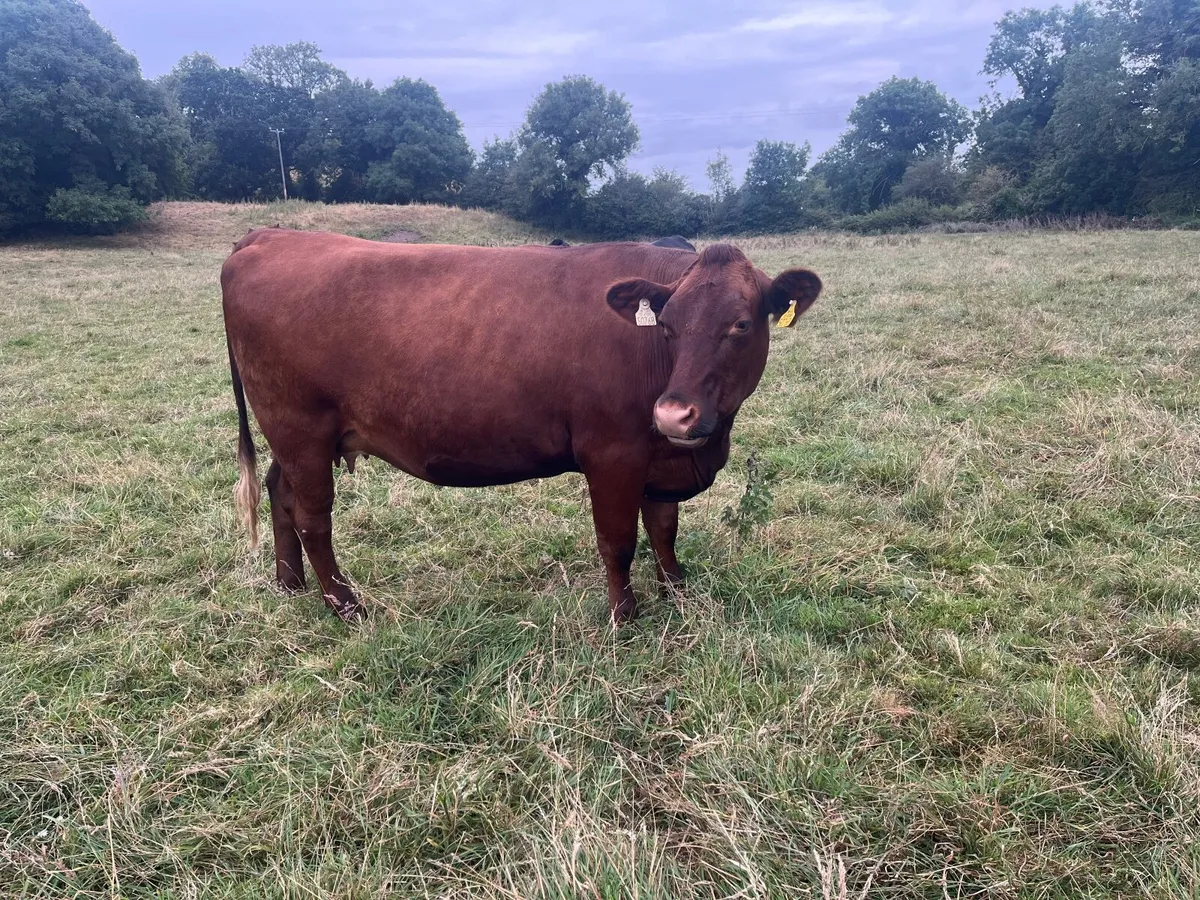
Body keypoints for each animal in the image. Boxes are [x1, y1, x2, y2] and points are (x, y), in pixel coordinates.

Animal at [222, 232, 821, 625]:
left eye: (740, 324)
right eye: (669, 326)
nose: (674, 413)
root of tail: (271, 235)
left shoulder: (658, 457)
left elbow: (664, 530)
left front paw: (676, 593)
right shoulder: (613, 453)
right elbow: (619, 541)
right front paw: (624, 616)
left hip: (295, 436)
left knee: (280, 492)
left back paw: (290, 584)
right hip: (300, 427)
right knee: (314, 518)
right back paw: (346, 605)